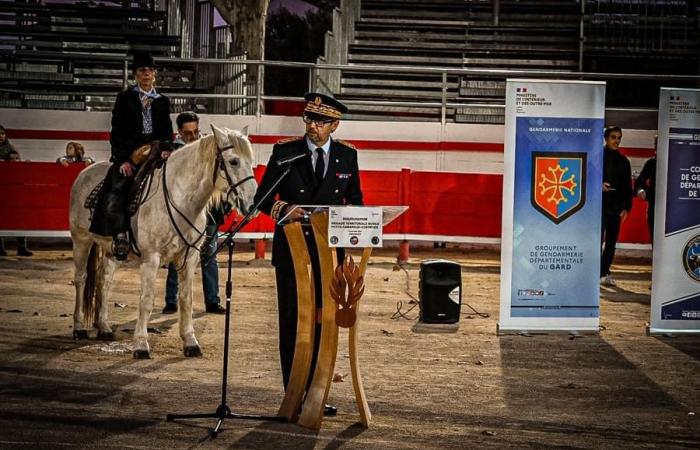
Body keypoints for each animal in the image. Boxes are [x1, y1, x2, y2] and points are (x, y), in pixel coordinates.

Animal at [69, 125, 258, 358]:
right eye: (233, 161)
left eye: (251, 160)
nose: (253, 204)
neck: (179, 198)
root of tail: (85, 172)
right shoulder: (151, 258)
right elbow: (146, 300)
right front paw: (141, 344)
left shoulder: (189, 257)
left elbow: (186, 298)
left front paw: (190, 342)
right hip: (81, 240)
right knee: (81, 279)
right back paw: (79, 328)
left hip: (111, 251)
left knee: (104, 281)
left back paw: (104, 327)